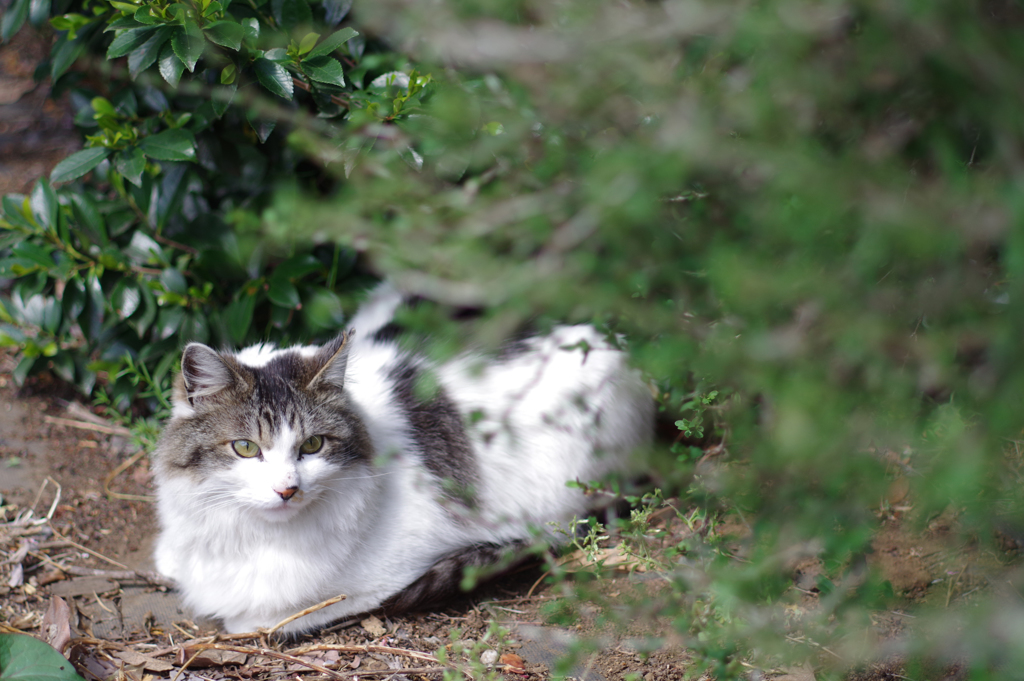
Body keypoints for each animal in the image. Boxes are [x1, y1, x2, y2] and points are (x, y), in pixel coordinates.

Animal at [149, 284, 655, 634]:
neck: (250, 536)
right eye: (245, 448)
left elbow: (275, 614)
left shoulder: (383, 578)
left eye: (312, 446)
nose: (287, 489)